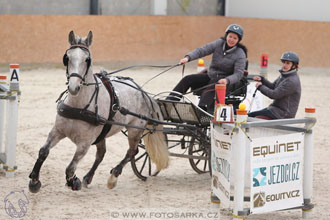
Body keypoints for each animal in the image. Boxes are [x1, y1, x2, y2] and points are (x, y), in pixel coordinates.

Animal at [27, 31, 170, 192]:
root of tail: (143, 92)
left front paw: (73, 181)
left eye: (87, 59)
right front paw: (34, 181)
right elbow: (43, 151)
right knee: (102, 154)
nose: (73, 88)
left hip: (134, 130)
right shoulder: (57, 131)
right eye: (67, 58)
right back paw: (88, 177)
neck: (79, 107)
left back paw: (113, 176)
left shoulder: (84, 143)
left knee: (132, 152)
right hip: (103, 133)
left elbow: (70, 168)